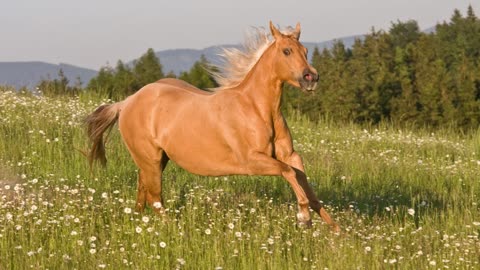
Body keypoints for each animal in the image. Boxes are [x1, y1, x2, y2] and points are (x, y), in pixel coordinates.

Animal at [87, 21, 342, 232]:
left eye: (306, 51)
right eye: (286, 51)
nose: (311, 78)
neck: (256, 109)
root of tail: (126, 102)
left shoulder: (289, 154)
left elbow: (303, 181)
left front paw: (336, 230)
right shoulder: (252, 160)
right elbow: (288, 172)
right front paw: (303, 217)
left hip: (156, 161)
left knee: (143, 194)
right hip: (149, 160)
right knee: (155, 198)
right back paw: (174, 231)